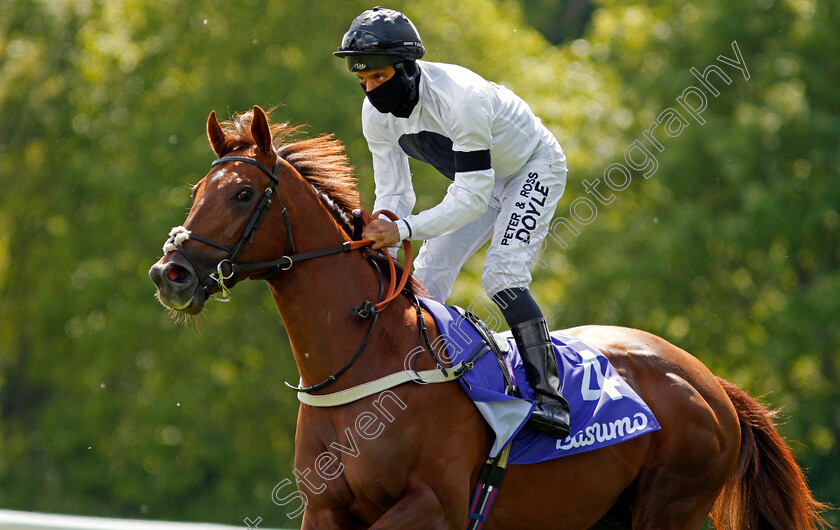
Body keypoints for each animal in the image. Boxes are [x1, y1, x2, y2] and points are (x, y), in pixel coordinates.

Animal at [149, 107, 828, 528]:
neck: (364, 365)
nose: (170, 273)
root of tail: (710, 382)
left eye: (243, 194)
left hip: (669, 507)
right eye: (197, 193)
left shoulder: (434, 505)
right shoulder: (326, 511)